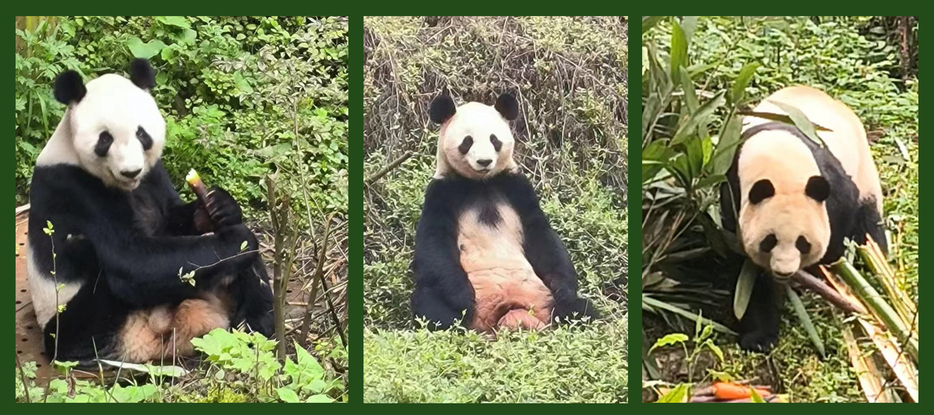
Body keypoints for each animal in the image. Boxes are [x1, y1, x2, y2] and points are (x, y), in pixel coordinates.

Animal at [724, 86, 892, 352]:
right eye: (769, 241)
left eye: (803, 243)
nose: (784, 271)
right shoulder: (732, 190)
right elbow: (748, 272)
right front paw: (759, 338)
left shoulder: (833, 185)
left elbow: (840, 227)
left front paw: (822, 270)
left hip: (864, 170)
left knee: (869, 226)